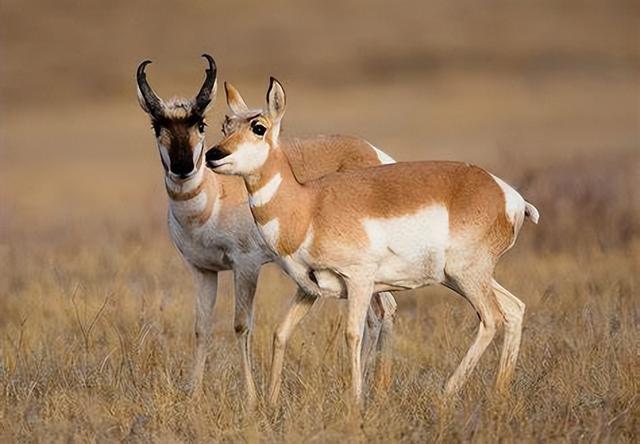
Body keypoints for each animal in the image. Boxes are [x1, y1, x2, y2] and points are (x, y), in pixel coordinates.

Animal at [135, 54, 396, 406]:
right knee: (377, 314)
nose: (183, 167)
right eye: (157, 125)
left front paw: (251, 397)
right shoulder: (202, 270)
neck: (214, 197)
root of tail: (373, 153)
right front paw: (193, 392)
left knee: (384, 311)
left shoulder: (245, 266)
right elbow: (202, 327)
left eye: (199, 123)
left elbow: (241, 325)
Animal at [206, 76, 540, 402]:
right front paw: (272, 404)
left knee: (491, 319)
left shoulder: (359, 280)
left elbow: (352, 334)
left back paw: (447, 391)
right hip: (460, 278)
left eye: (258, 127)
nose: (213, 155)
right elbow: (280, 333)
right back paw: (499, 392)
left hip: (466, 276)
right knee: (514, 309)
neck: (309, 205)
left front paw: (354, 403)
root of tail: (506, 194)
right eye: (225, 125)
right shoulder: (308, 290)